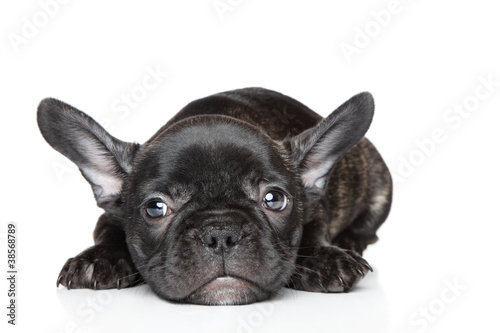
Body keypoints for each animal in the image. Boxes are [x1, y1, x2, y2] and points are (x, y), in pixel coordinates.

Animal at [37, 87, 392, 304]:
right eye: (155, 208)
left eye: (274, 199)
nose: (221, 234)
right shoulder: (110, 215)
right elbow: (107, 233)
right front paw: (98, 259)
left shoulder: (315, 210)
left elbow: (315, 230)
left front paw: (325, 259)